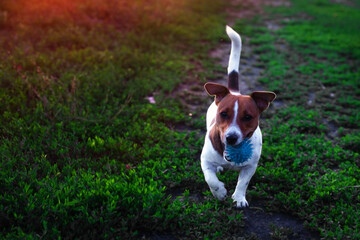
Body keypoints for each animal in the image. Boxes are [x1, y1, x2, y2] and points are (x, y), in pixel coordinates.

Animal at [200, 25, 276, 207]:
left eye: (248, 117)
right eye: (223, 114)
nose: (231, 138)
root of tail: (234, 91)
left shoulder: (250, 167)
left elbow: (243, 182)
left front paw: (239, 198)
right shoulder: (205, 160)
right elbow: (210, 179)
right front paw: (219, 192)